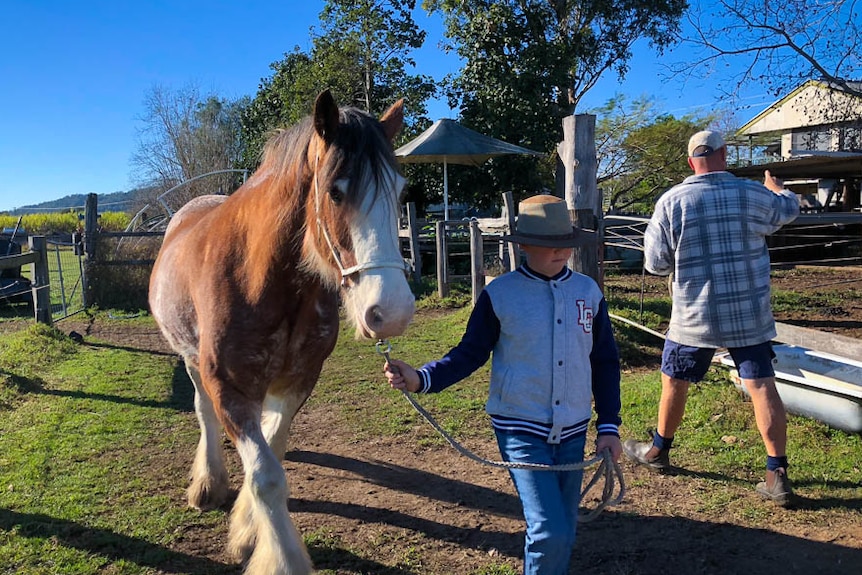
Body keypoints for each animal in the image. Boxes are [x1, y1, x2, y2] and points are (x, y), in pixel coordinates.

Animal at [148, 91, 416, 575]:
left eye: (400, 192)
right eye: (335, 192)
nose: (392, 312)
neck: (261, 277)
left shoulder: (298, 381)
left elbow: (272, 450)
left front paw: (247, 529)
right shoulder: (229, 388)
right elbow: (266, 476)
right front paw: (280, 556)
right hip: (190, 359)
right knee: (203, 413)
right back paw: (208, 482)